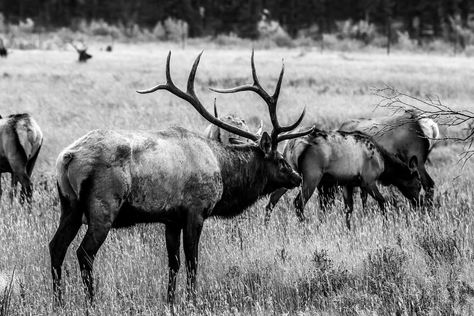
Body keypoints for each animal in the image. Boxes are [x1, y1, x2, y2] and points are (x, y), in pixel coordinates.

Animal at [50, 50, 312, 304]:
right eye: (280, 160)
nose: (297, 177)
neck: (223, 172)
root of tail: (68, 157)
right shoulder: (195, 211)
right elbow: (192, 261)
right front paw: (191, 300)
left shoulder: (171, 219)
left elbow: (173, 263)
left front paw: (171, 301)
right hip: (103, 206)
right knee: (84, 253)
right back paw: (91, 303)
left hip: (70, 206)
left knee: (56, 247)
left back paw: (58, 301)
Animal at [264, 128, 420, 230]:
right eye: (418, 184)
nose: (419, 202)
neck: (384, 165)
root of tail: (292, 145)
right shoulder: (368, 180)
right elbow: (383, 202)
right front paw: (386, 226)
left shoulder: (347, 183)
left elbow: (348, 209)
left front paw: (349, 230)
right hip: (311, 176)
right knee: (298, 203)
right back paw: (306, 228)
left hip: (288, 174)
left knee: (272, 200)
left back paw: (265, 227)